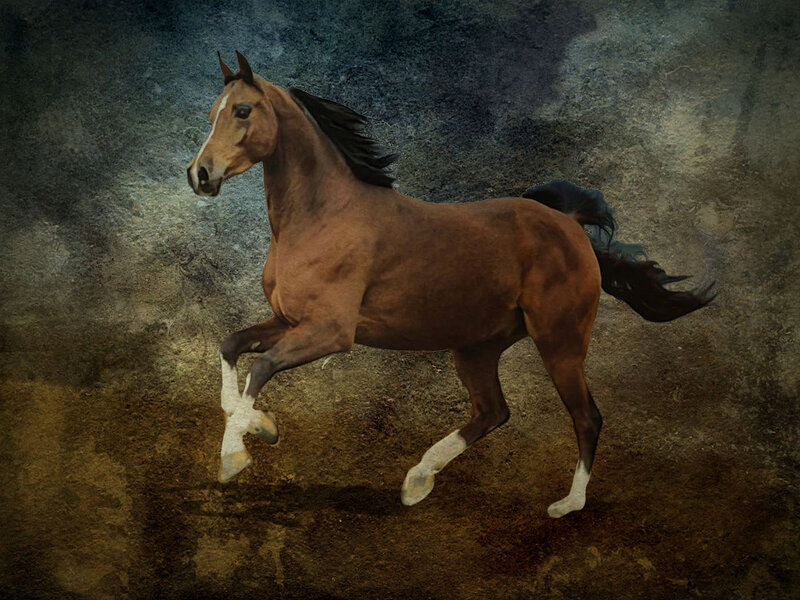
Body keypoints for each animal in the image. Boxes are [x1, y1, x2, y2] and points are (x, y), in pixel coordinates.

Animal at [186, 51, 715, 517]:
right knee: (494, 412)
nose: (200, 175)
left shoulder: (331, 332)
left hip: (559, 342)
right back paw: (417, 481)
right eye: (212, 112)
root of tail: (568, 224)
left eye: (242, 110)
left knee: (586, 417)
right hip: (477, 347)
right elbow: (231, 345)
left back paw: (567, 505)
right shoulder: (288, 320)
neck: (321, 216)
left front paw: (236, 455)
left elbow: (262, 366)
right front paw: (259, 427)